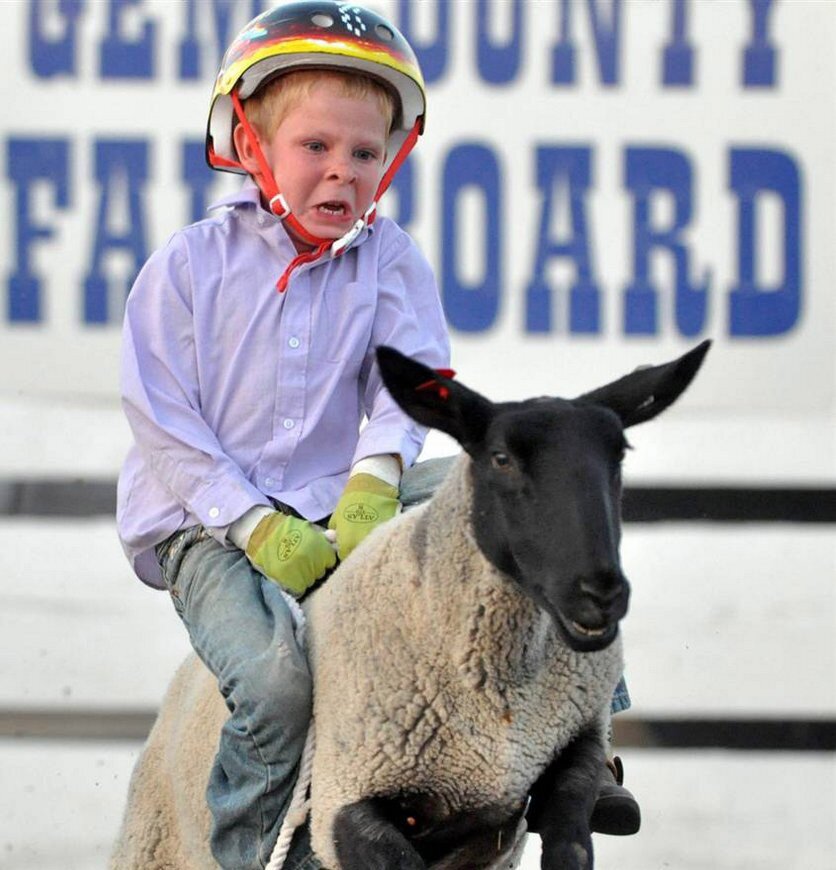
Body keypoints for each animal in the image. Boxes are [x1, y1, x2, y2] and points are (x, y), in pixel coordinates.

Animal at [111, 340, 708, 870]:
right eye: (501, 458)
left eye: (619, 456)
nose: (599, 593)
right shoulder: (346, 801)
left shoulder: (571, 751)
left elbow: (572, 843)